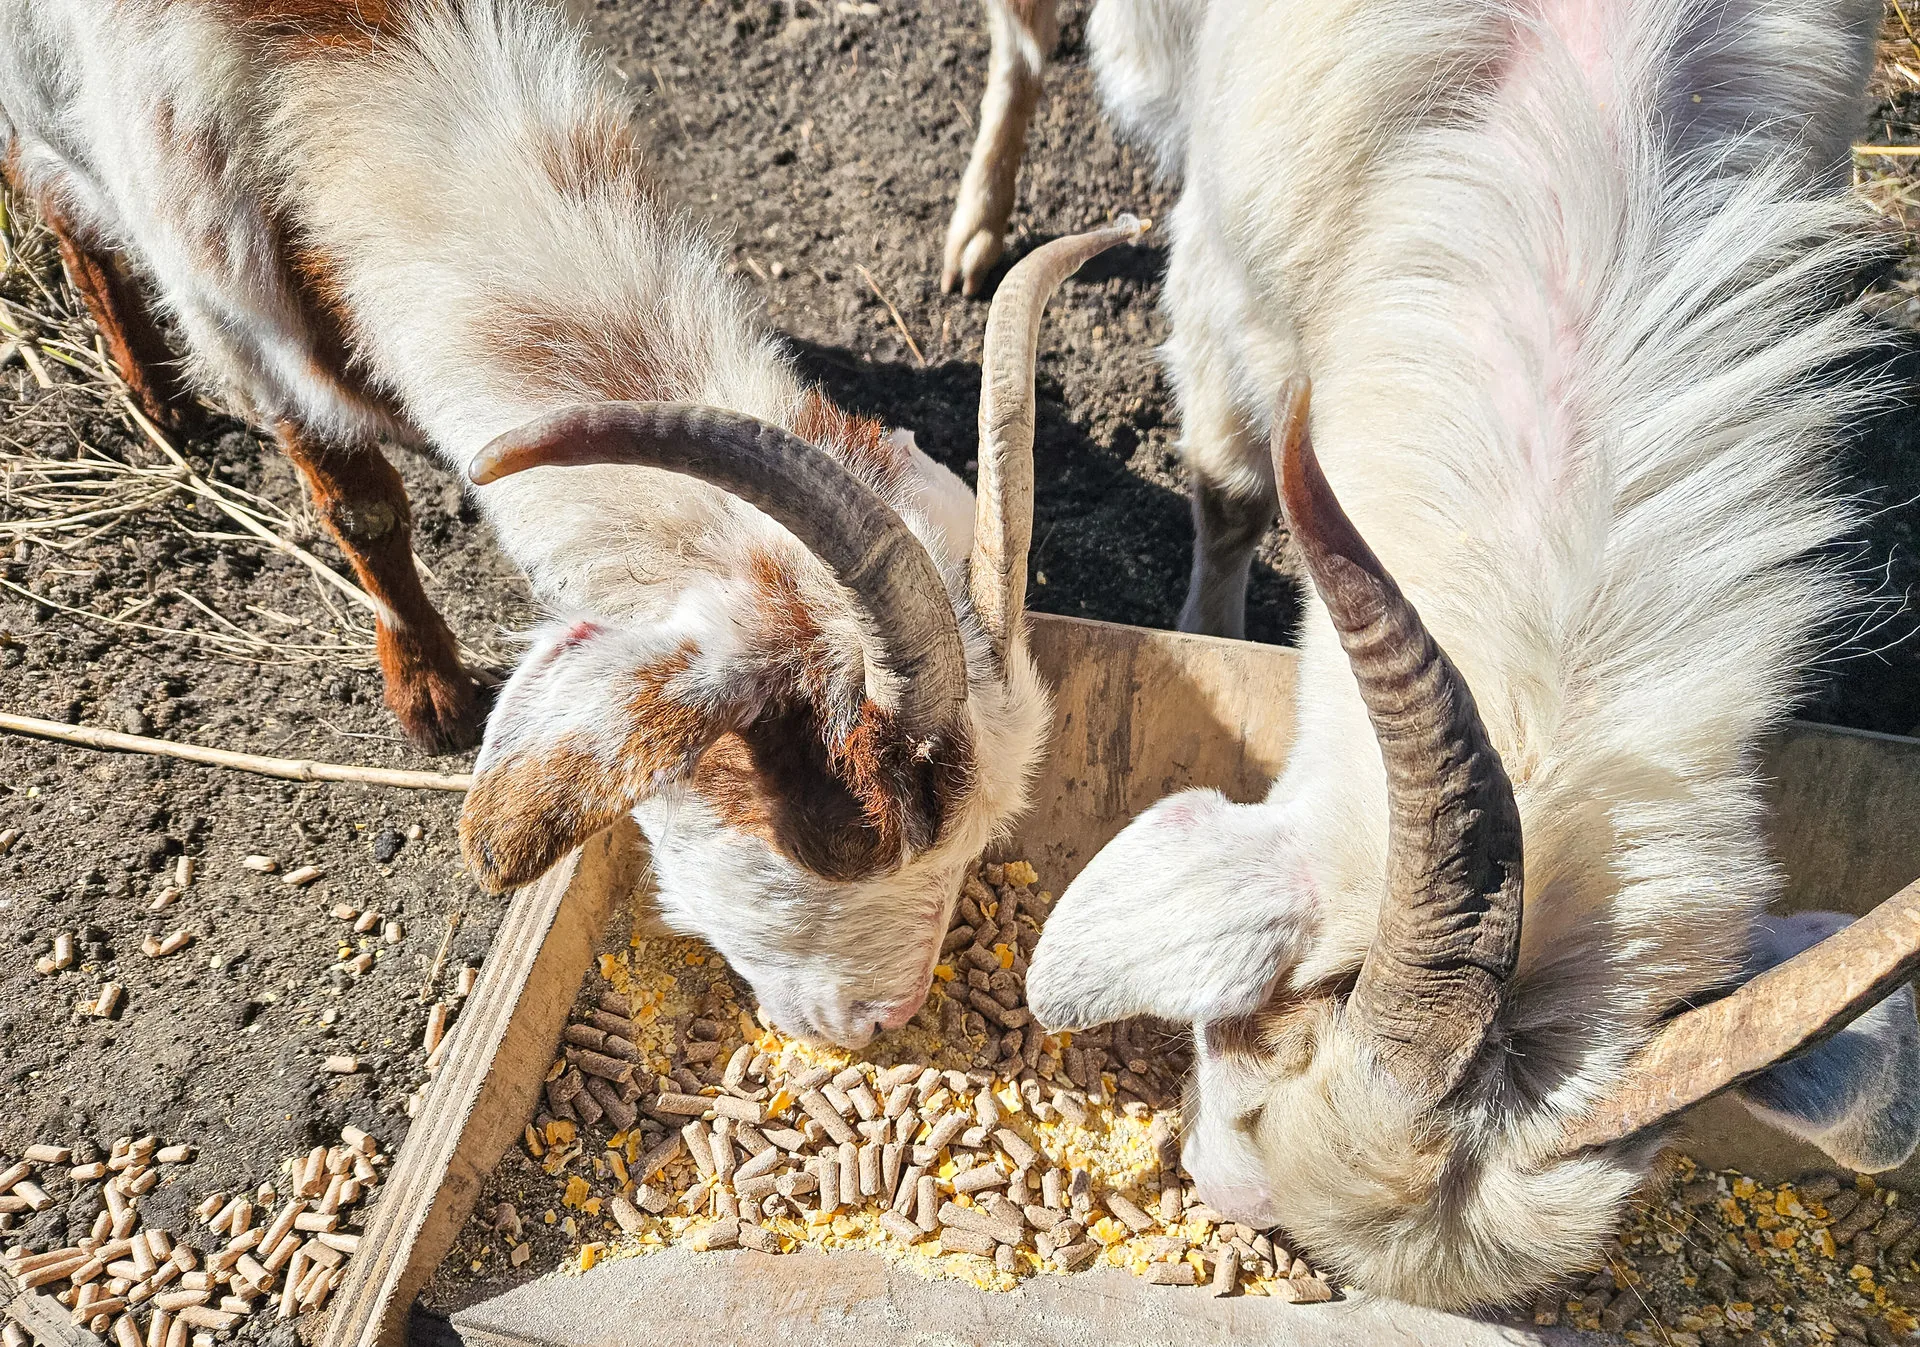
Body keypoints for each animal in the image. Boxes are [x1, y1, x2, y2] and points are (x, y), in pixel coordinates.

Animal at [0, 0, 1142, 1046]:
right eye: (844, 828)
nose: (879, 1021)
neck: (333, 56)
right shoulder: (244, 321)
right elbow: (362, 509)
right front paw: (431, 698)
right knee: (52, 192)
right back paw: (154, 391)